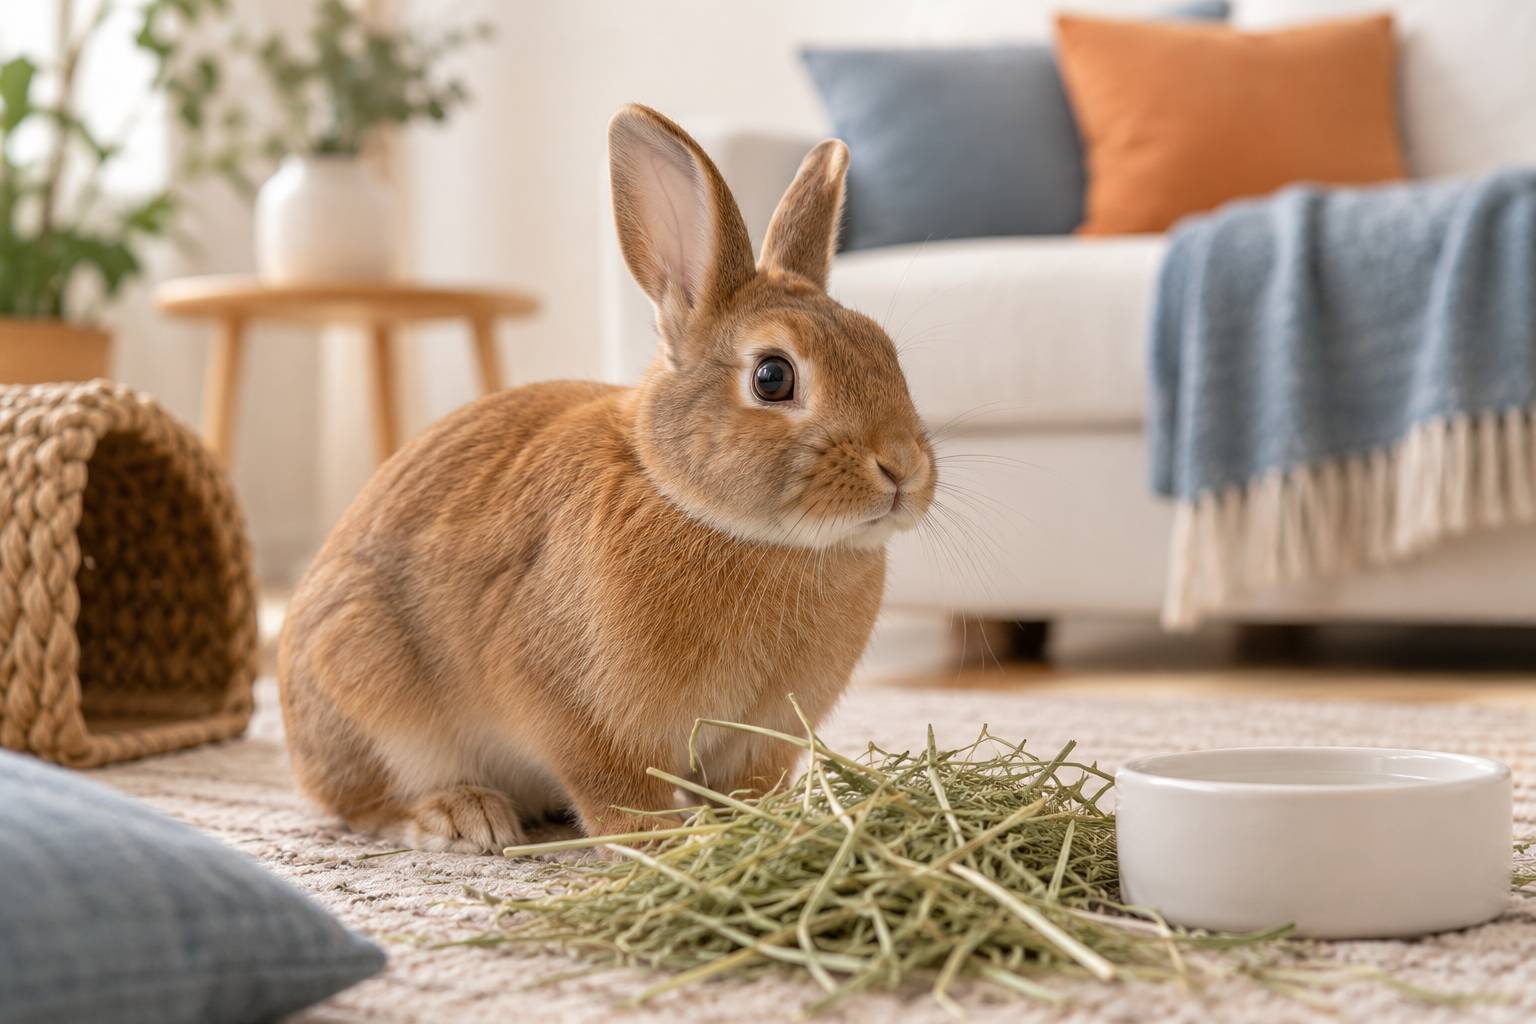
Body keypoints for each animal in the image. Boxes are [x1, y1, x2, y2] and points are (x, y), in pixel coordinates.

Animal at [277, 104, 935, 853]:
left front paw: (751, 823)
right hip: (364, 680)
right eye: (773, 377)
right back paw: (464, 817)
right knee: (363, 801)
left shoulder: (761, 739)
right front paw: (660, 840)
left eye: (885, 351)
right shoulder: (576, 708)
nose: (902, 467)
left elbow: (746, 787)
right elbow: (614, 785)